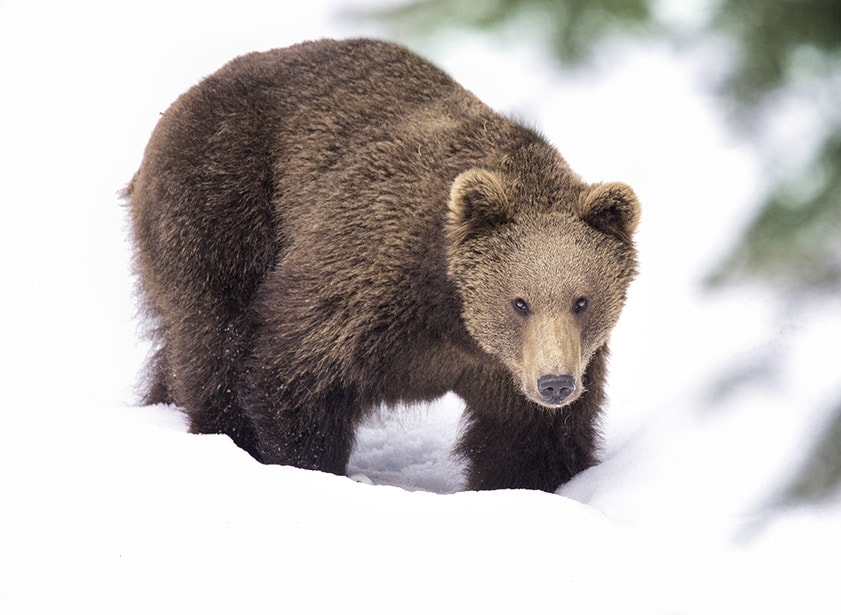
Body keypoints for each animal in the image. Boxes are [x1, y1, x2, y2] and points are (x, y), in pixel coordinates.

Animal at [126, 37, 636, 490]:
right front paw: (305, 464)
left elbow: (531, 442)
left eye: (582, 300)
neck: (452, 316)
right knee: (214, 336)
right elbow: (291, 368)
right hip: (221, 198)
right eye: (519, 302)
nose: (555, 383)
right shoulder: (367, 277)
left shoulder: (518, 371)